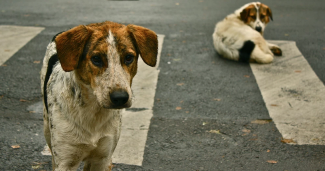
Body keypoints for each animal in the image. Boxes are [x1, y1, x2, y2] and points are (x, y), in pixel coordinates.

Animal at [40, 21, 157, 171]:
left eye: (128, 57)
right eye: (96, 59)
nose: (120, 98)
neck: (93, 111)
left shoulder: (103, 158)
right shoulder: (65, 161)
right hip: (46, 128)